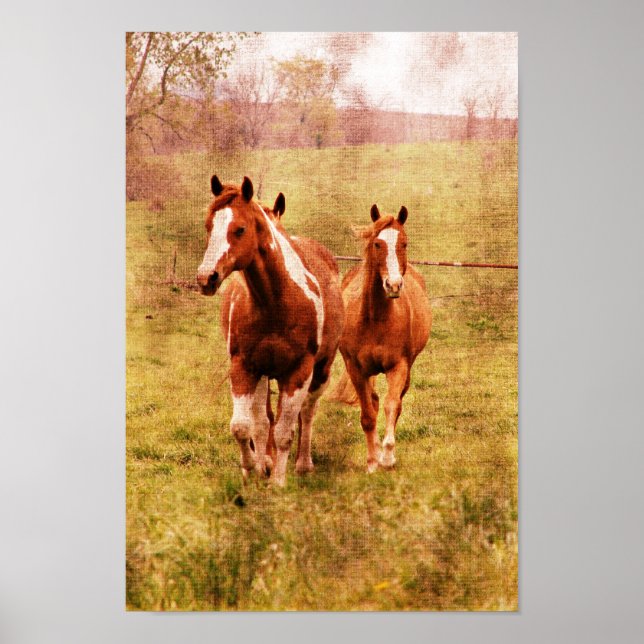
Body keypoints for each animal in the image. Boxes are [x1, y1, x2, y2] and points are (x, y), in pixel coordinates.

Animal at [196, 176, 344, 486]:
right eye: (209, 226)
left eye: (239, 229)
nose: (206, 278)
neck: (276, 302)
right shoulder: (245, 366)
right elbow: (246, 426)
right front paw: (252, 466)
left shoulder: (299, 371)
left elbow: (285, 431)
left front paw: (277, 482)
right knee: (265, 420)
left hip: (321, 370)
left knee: (307, 413)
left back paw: (303, 464)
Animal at [332, 204, 432, 472]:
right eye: (377, 244)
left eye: (404, 243)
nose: (393, 285)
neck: (375, 318)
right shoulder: (356, 369)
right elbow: (368, 414)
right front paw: (372, 461)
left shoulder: (398, 366)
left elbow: (392, 405)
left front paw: (387, 457)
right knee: (374, 403)